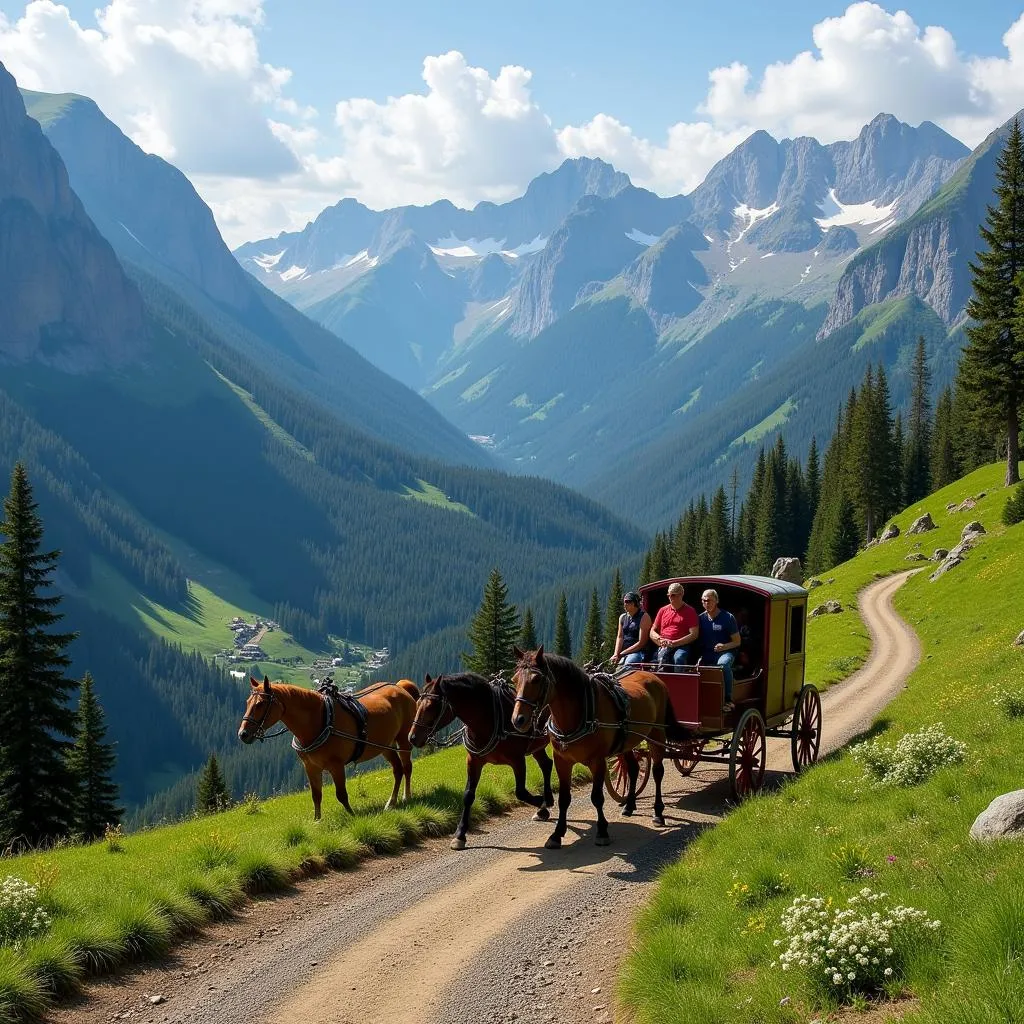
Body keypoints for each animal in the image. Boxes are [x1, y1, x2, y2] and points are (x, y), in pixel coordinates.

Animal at [237, 675, 417, 819]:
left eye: (260, 704)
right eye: (247, 702)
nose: (243, 734)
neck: (319, 721)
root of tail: (400, 687)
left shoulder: (336, 766)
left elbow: (341, 794)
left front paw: (352, 815)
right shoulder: (310, 767)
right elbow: (316, 795)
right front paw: (317, 821)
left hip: (403, 740)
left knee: (407, 767)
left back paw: (406, 797)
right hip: (386, 746)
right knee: (397, 770)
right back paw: (391, 802)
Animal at [403, 675, 557, 851]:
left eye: (431, 706)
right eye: (417, 704)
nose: (412, 737)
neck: (490, 719)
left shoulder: (518, 760)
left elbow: (520, 792)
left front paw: (541, 803)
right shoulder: (473, 761)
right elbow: (468, 795)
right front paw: (460, 835)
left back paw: (545, 803)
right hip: (536, 746)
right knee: (546, 764)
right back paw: (546, 803)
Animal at [509, 647, 671, 847]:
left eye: (536, 679)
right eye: (514, 680)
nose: (518, 720)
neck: (578, 715)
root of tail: (652, 676)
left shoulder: (598, 761)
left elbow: (597, 797)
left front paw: (602, 831)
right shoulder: (562, 761)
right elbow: (564, 798)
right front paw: (556, 834)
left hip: (657, 734)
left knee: (657, 772)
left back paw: (658, 813)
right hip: (627, 742)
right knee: (633, 769)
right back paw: (629, 806)